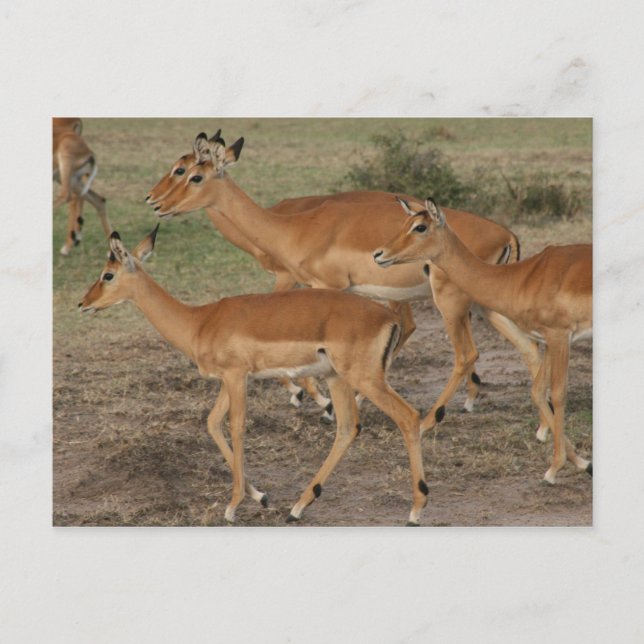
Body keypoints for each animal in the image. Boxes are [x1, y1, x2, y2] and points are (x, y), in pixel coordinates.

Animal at [79, 227, 428, 525]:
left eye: (107, 274)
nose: (83, 303)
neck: (199, 322)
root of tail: (389, 318)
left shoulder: (236, 376)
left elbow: (236, 427)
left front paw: (232, 507)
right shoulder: (229, 379)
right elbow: (212, 423)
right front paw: (260, 496)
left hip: (364, 378)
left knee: (408, 417)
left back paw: (414, 511)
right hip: (337, 378)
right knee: (347, 428)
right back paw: (297, 508)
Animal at [149, 132, 538, 433]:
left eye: (192, 174)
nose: (155, 203)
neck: (294, 227)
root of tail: (507, 234)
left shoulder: (320, 287)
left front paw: (323, 404)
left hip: (450, 301)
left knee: (466, 353)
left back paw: (430, 420)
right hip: (483, 304)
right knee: (528, 346)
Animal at [374, 198, 592, 484]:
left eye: (420, 227)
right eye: (405, 222)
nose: (379, 254)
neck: (521, 278)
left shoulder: (559, 336)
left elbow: (557, 393)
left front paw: (554, 469)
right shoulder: (548, 340)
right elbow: (537, 390)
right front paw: (582, 462)